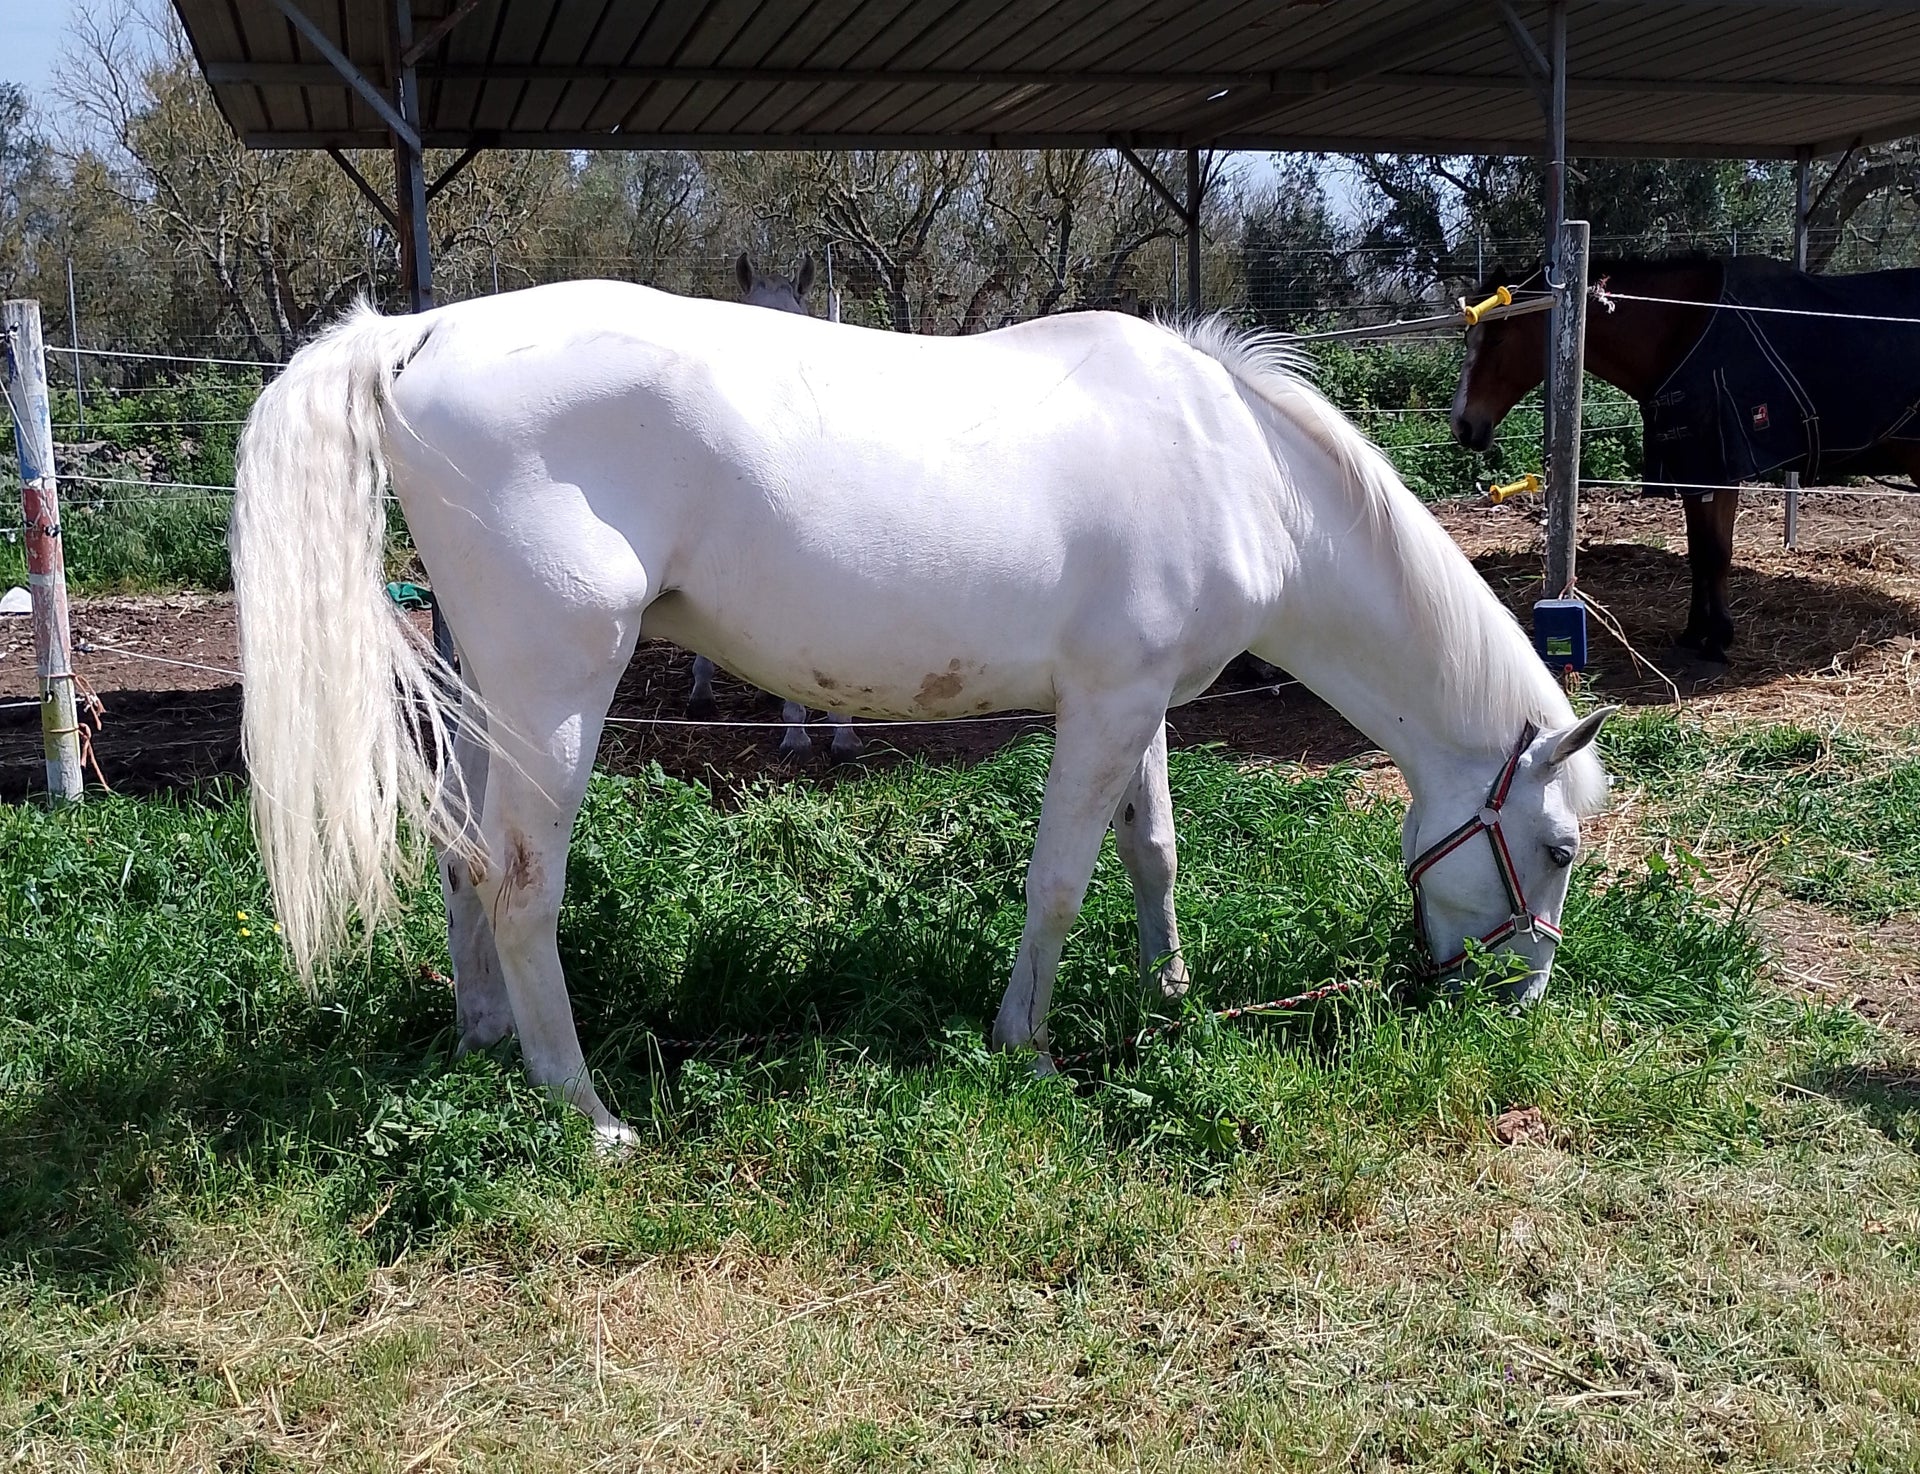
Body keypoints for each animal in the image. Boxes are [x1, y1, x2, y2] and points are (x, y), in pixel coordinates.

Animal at [1451, 255, 1920, 661]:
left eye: (1498, 336)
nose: (1463, 425)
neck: (1686, 328)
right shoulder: (1693, 469)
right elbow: (1699, 554)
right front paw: (1697, 632)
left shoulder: (1719, 468)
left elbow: (1717, 553)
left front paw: (1718, 639)